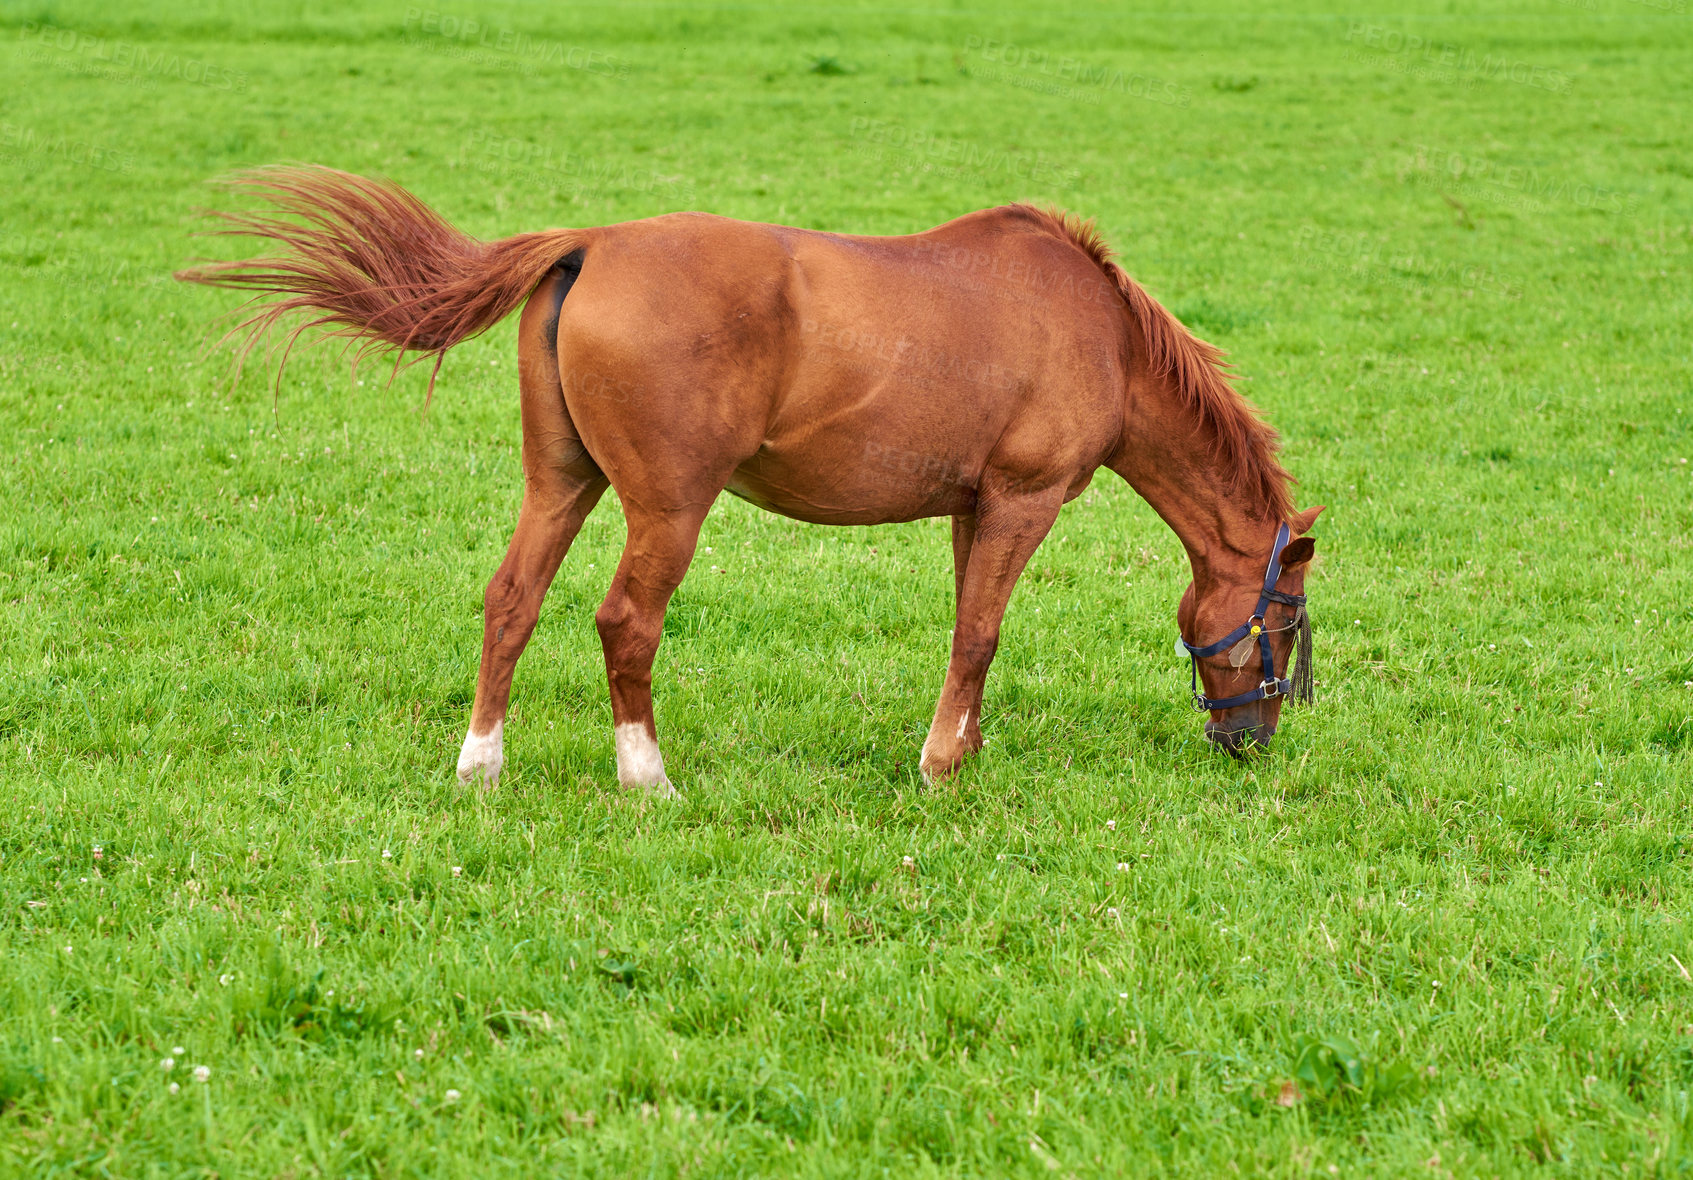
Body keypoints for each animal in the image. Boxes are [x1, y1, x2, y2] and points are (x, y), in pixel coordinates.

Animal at [177, 167, 1322, 795]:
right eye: (1285, 617)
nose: (1249, 739)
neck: (1100, 334)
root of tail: (591, 246)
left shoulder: (971, 510)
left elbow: (969, 631)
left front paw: (961, 747)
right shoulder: (1020, 502)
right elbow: (980, 635)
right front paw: (940, 769)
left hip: (562, 484)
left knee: (513, 601)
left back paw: (481, 766)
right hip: (667, 509)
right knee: (625, 622)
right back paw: (646, 776)